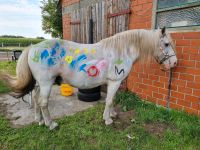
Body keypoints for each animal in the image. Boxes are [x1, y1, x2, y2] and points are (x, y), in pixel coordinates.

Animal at [1, 27, 177, 130]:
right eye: (167, 44)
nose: (174, 63)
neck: (121, 50)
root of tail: (32, 47)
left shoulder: (114, 83)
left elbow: (113, 100)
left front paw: (113, 114)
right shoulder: (115, 81)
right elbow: (109, 101)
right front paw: (108, 120)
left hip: (39, 84)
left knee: (36, 100)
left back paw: (39, 120)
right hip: (46, 83)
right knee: (43, 102)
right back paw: (51, 124)